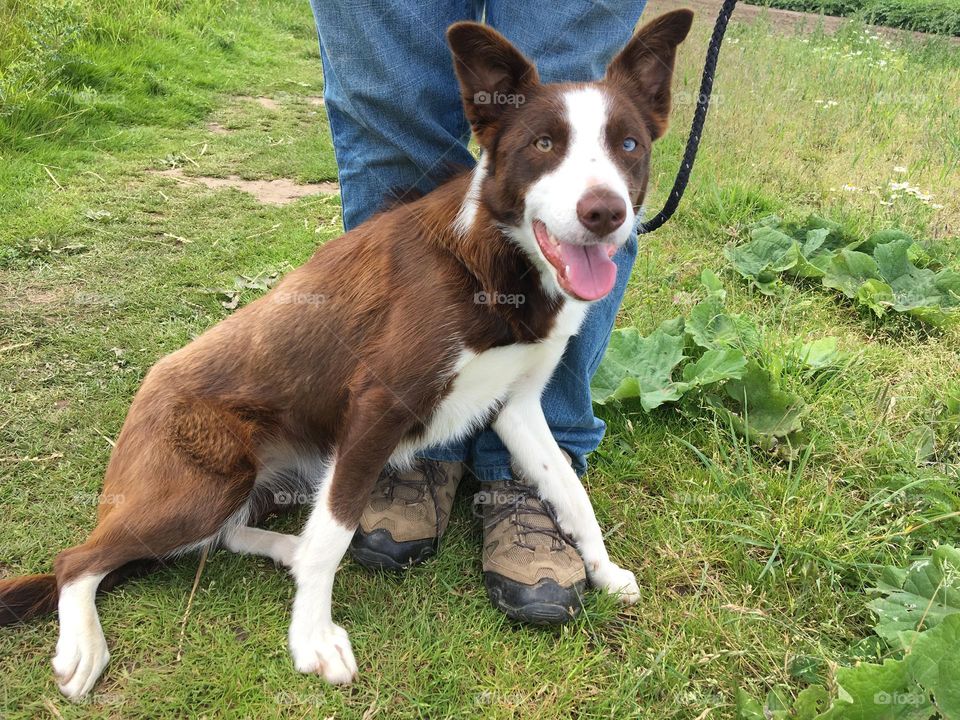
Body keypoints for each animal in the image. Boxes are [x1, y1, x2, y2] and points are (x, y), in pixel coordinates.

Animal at [0, 11, 688, 696]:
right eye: (544, 144)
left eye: (629, 146)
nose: (605, 213)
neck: (496, 259)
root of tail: (141, 399)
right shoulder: (377, 406)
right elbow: (333, 534)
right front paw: (312, 640)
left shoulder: (516, 407)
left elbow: (570, 494)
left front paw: (604, 571)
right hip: (203, 485)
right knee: (78, 560)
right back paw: (85, 643)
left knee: (225, 537)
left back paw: (286, 551)